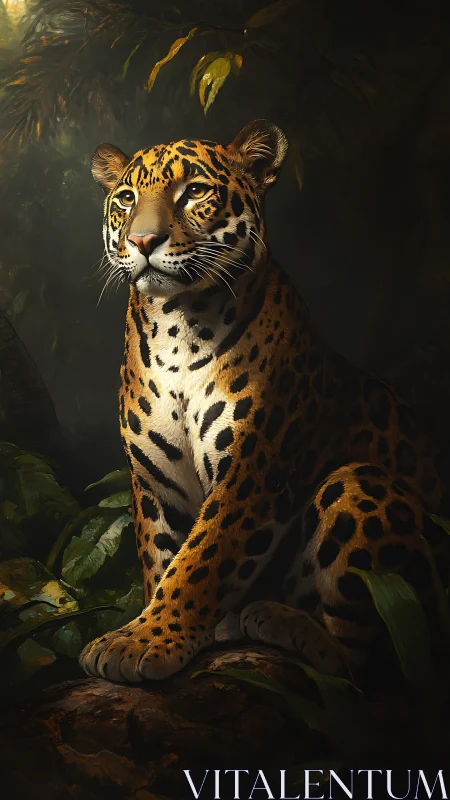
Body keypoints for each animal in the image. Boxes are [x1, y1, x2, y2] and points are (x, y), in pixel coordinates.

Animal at [80, 119, 450, 684]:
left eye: (194, 191)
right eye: (126, 198)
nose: (142, 240)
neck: (176, 328)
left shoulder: (257, 467)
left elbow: (202, 560)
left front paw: (143, 639)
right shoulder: (154, 481)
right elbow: (162, 557)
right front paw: (155, 632)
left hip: (359, 486)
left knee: (368, 663)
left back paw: (278, 620)